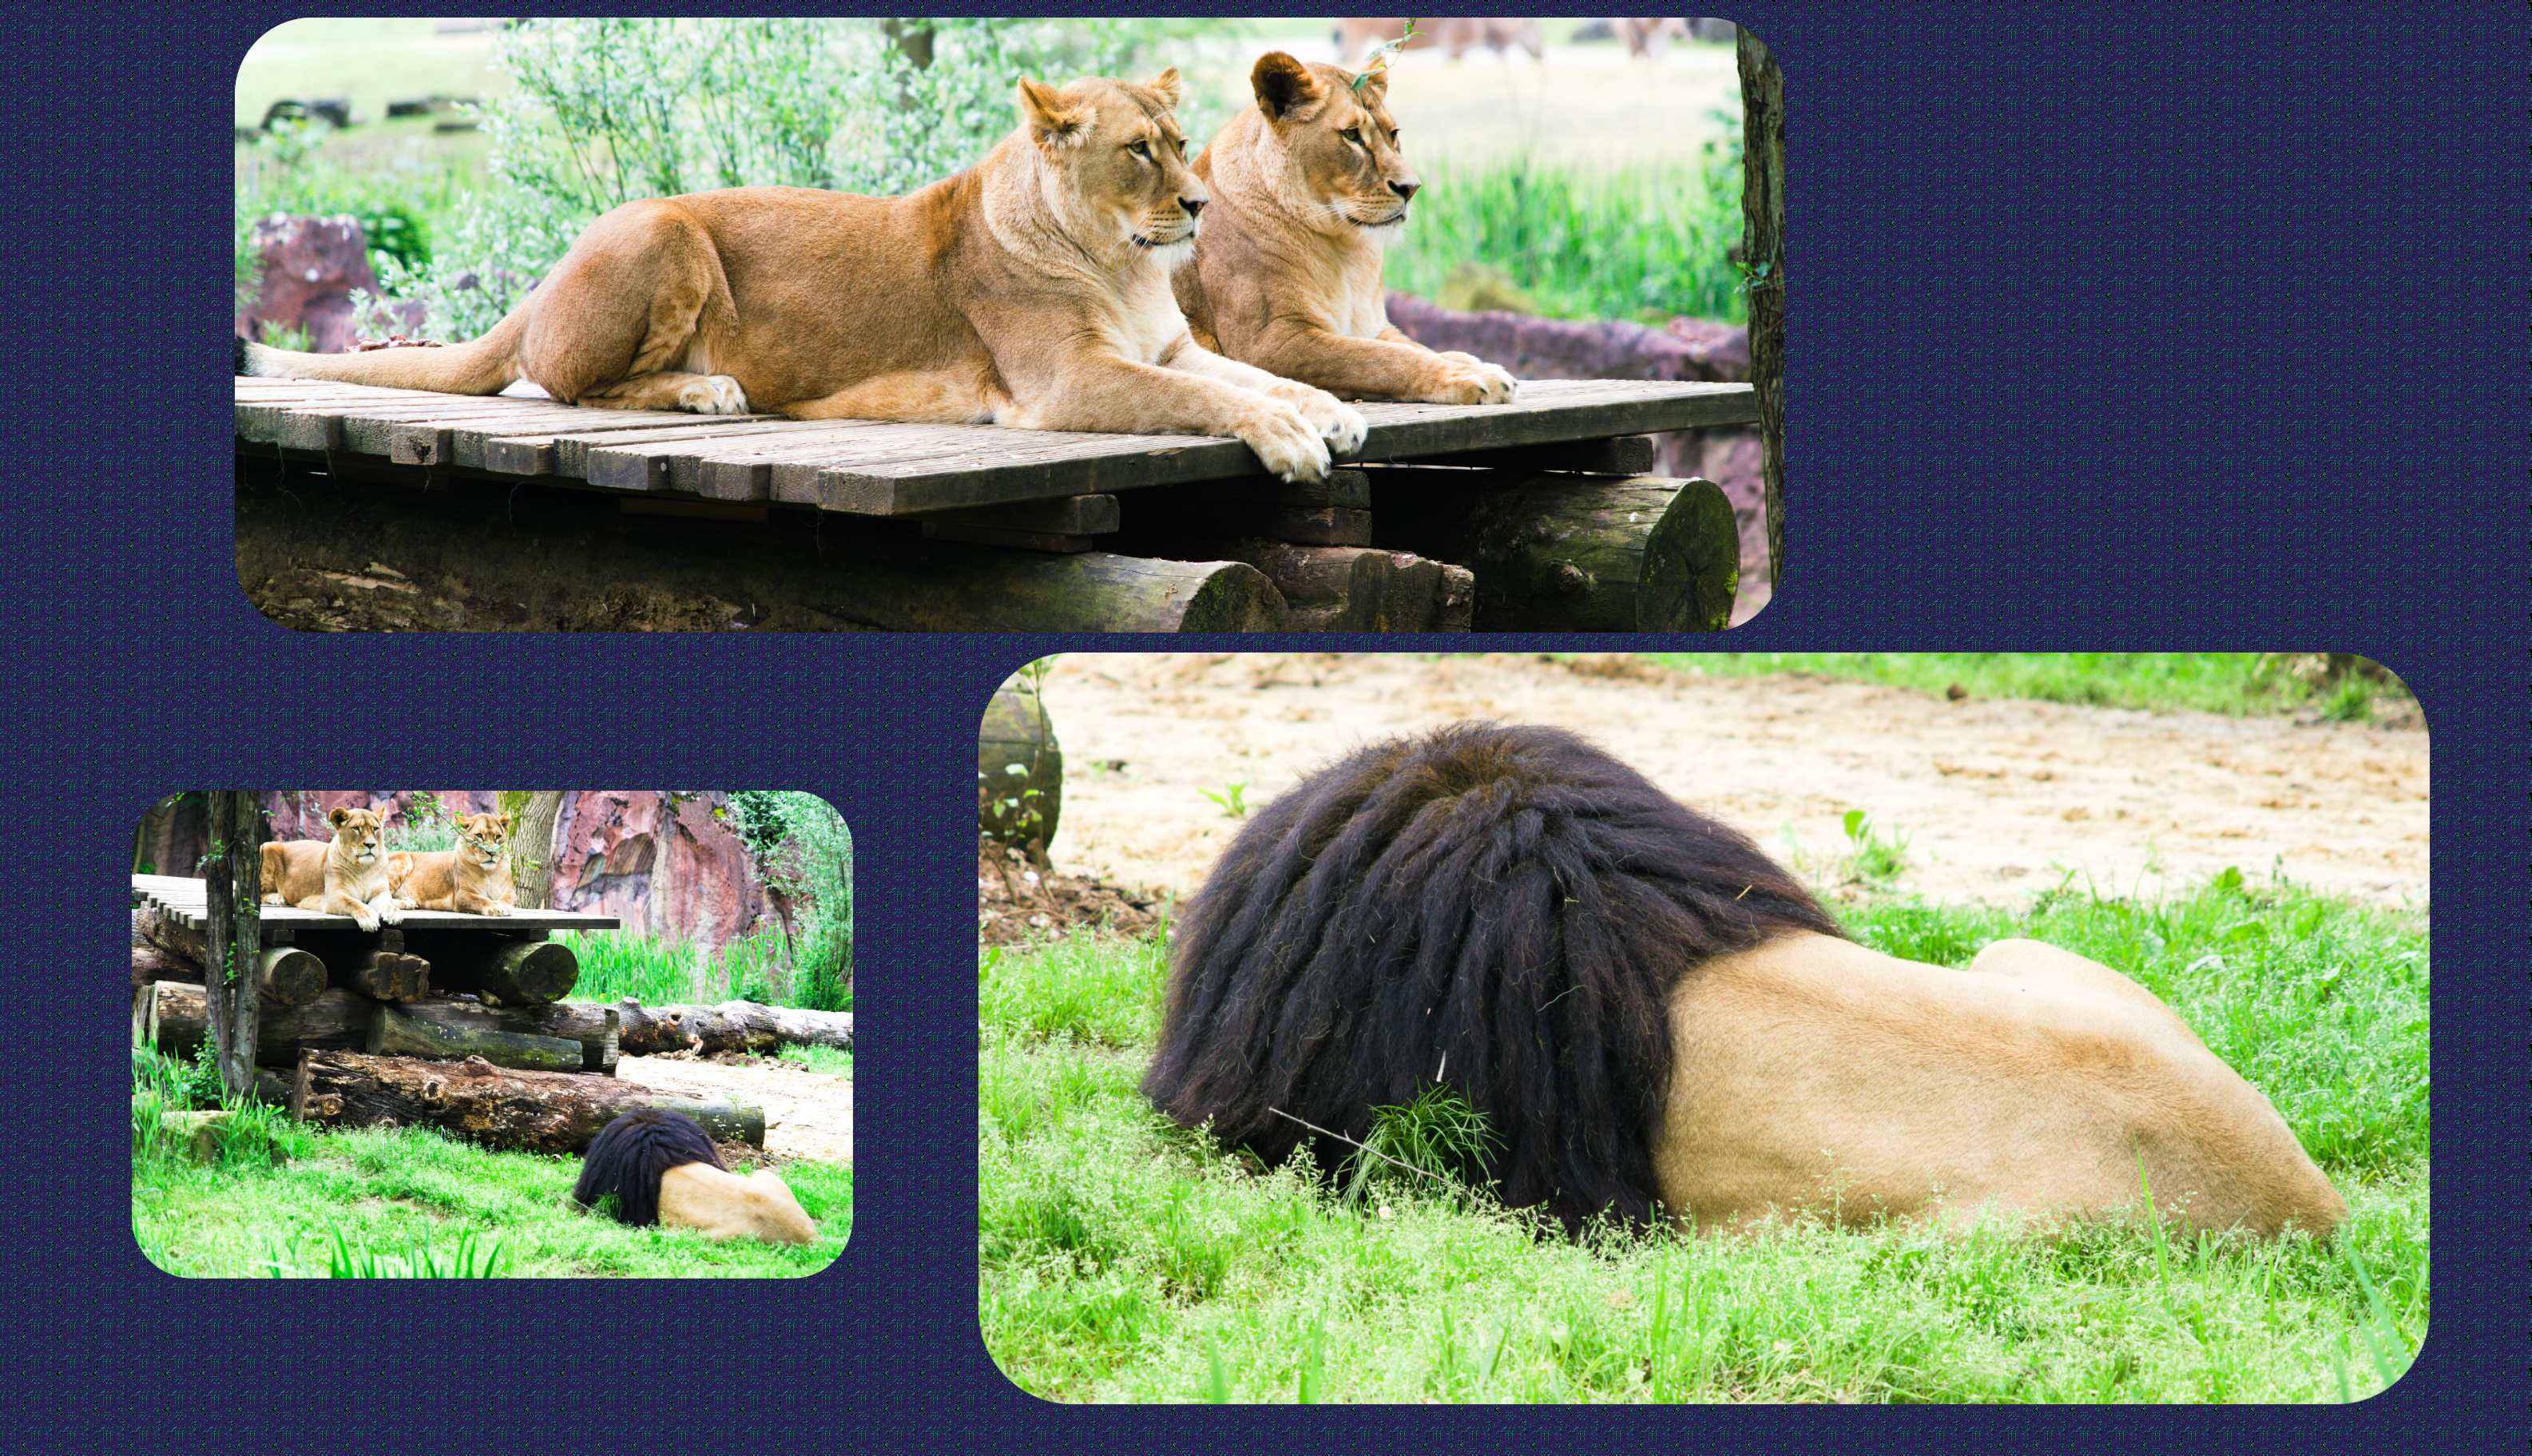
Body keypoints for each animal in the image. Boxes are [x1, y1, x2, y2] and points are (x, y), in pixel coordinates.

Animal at [235, 69, 1369, 485]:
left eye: (1181, 143)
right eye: (1139, 152)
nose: (1199, 204)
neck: (1119, 263)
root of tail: (544, 278)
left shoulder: (1170, 342)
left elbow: (1259, 376)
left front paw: (1328, 412)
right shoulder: (1067, 384)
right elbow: (1210, 398)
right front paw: (1289, 440)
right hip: (667, 231)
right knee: (569, 384)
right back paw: (707, 388)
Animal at [259, 805, 401, 933]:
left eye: (375, 829)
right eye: (356, 828)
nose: (371, 844)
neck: (363, 868)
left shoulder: (381, 892)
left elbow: (387, 902)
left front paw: (394, 913)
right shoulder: (334, 895)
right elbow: (353, 903)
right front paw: (368, 917)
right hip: (268, 846)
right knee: (260, 893)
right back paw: (277, 898)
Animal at [388, 812, 517, 916]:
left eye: (498, 836)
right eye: (479, 835)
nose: (492, 852)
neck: (489, 872)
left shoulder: (510, 891)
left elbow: (507, 900)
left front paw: (502, 906)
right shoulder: (461, 894)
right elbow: (481, 900)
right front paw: (494, 907)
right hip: (403, 858)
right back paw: (406, 903)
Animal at [1173, 54, 1520, 407]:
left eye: (1393, 134)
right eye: (1352, 135)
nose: (1411, 188)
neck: (1345, 250)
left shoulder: (1372, 325)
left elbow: (1413, 347)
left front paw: (1477, 364)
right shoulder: (1269, 343)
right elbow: (1380, 359)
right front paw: (1467, 376)